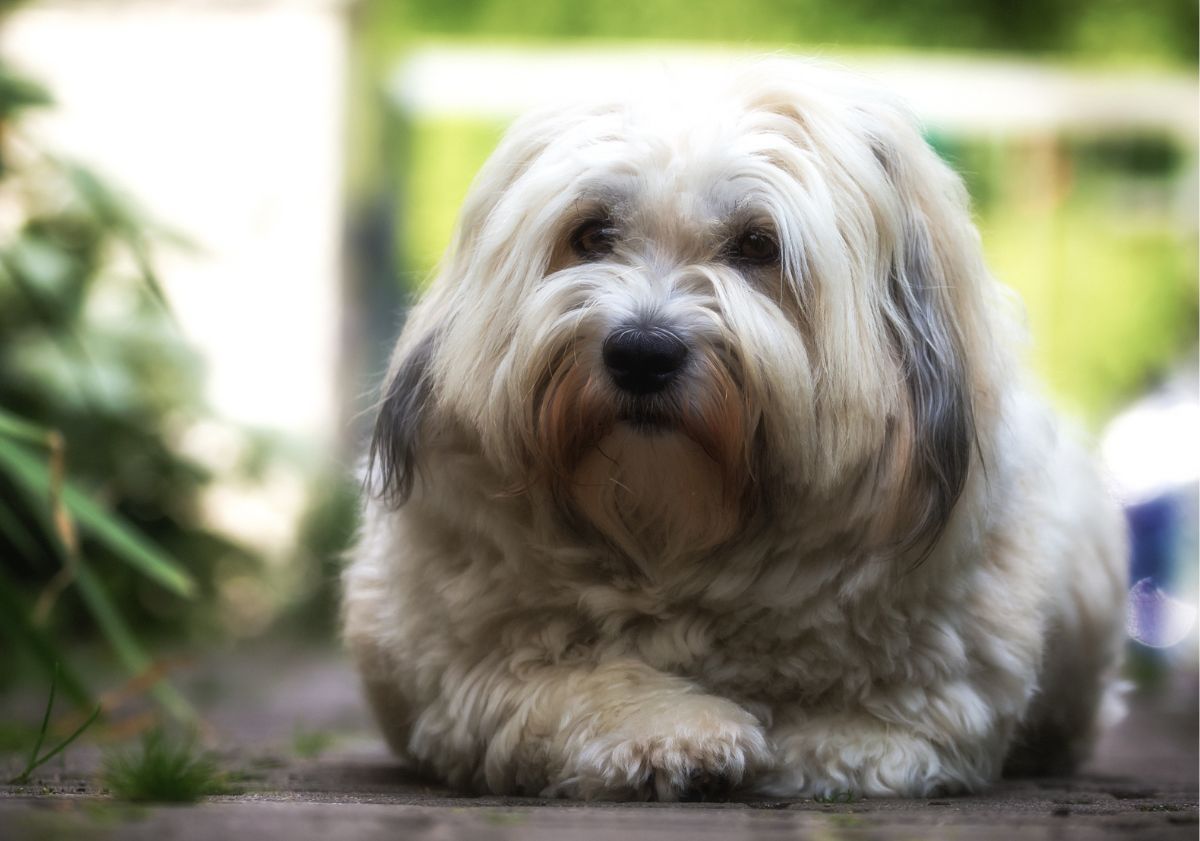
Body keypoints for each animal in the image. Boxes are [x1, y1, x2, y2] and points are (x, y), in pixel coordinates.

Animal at [343, 60, 1128, 801]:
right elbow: (570, 682)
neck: (673, 531)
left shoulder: (939, 689)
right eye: (591, 232)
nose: (641, 352)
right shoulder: (464, 669)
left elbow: (863, 731)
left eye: (758, 245)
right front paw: (673, 734)